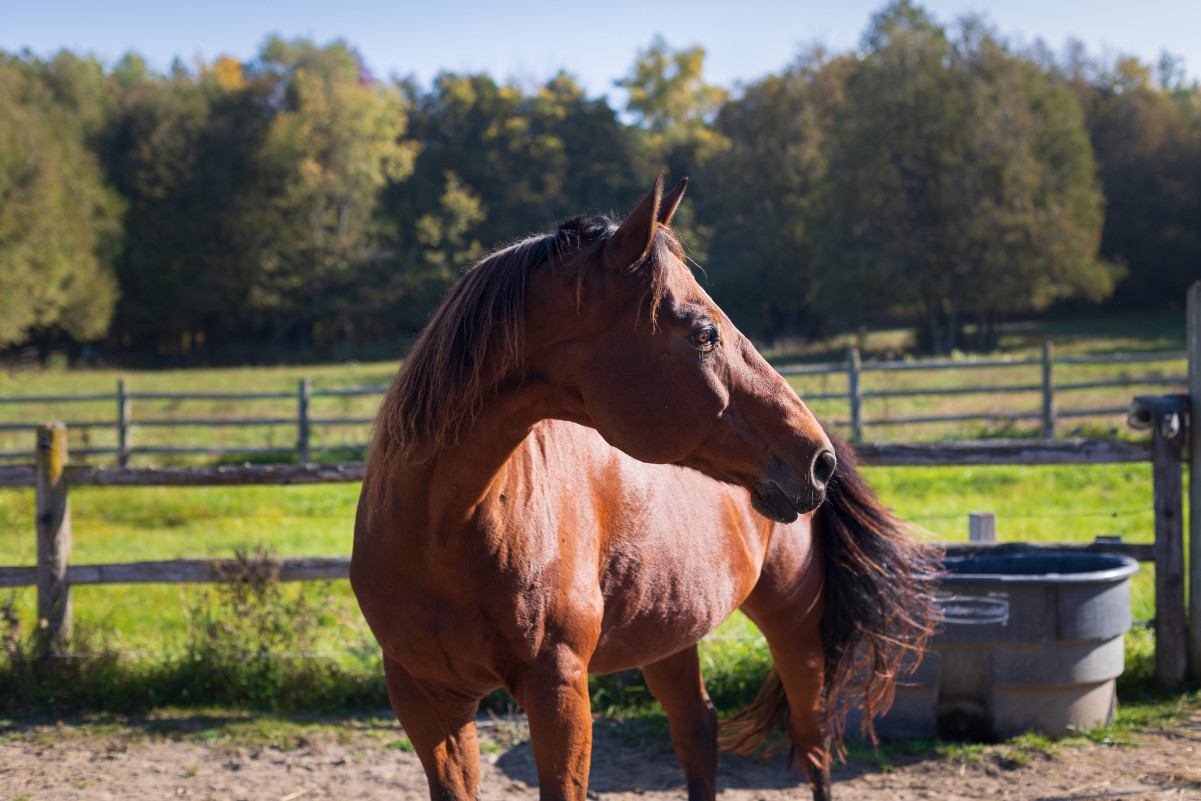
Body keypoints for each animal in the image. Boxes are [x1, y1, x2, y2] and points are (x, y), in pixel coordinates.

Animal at [351, 175, 939, 801]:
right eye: (704, 333)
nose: (818, 461)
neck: (445, 528)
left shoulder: (559, 692)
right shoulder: (427, 701)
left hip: (794, 631)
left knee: (814, 744)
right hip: (671, 633)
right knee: (697, 729)